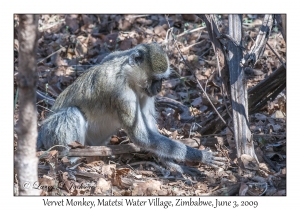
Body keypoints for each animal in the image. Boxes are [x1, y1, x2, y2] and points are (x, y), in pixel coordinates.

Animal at [37, 42, 225, 172]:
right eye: (156, 80)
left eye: (162, 80)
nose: (159, 88)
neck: (128, 75)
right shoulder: (121, 91)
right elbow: (141, 135)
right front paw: (200, 156)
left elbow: (149, 133)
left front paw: (170, 163)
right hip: (51, 136)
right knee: (71, 113)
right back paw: (71, 159)